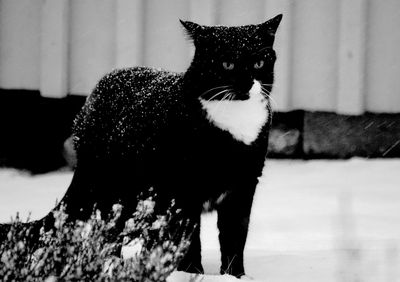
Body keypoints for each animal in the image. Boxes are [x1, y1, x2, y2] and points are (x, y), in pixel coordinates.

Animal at [1, 14, 282, 278]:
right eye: (227, 64)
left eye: (259, 63)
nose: (246, 84)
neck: (235, 123)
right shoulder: (183, 193)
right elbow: (190, 239)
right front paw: (191, 274)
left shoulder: (243, 188)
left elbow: (235, 237)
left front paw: (235, 276)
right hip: (112, 190)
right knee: (109, 231)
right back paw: (111, 265)